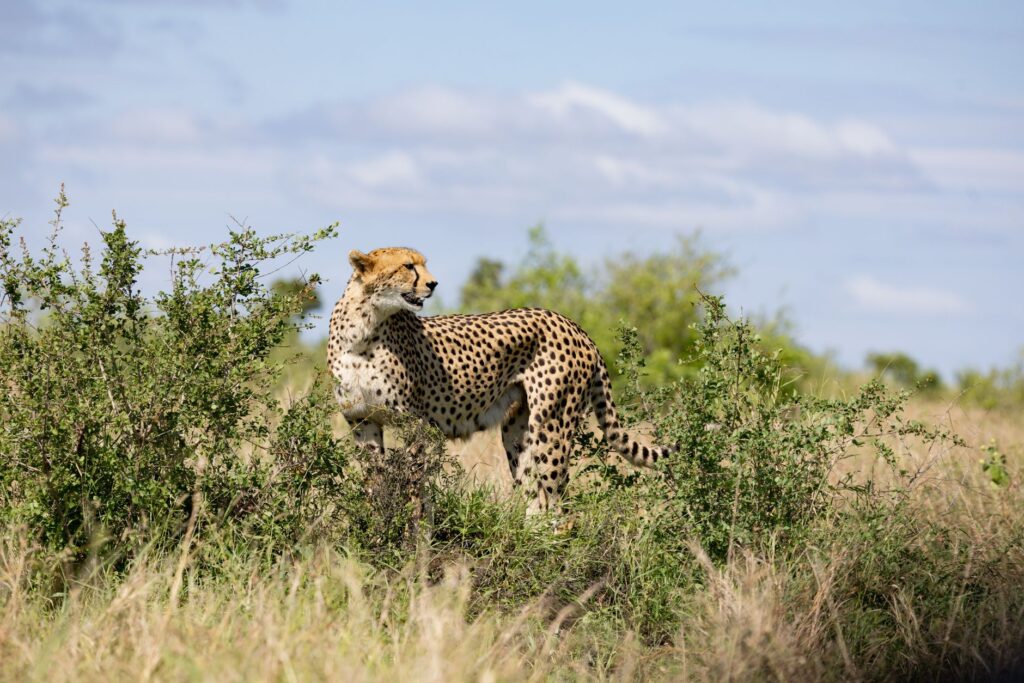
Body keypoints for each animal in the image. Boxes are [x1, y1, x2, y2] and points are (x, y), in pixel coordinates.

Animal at [327, 246, 674, 514]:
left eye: (422, 264)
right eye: (408, 266)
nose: (433, 283)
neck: (364, 330)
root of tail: (573, 324)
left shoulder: (415, 423)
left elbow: (414, 482)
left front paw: (412, 530)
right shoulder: (362, 420)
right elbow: (374, 482)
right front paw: (376, 525)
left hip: (552, 425)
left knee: (560, 505)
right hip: (517, 430)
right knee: (536, 498)